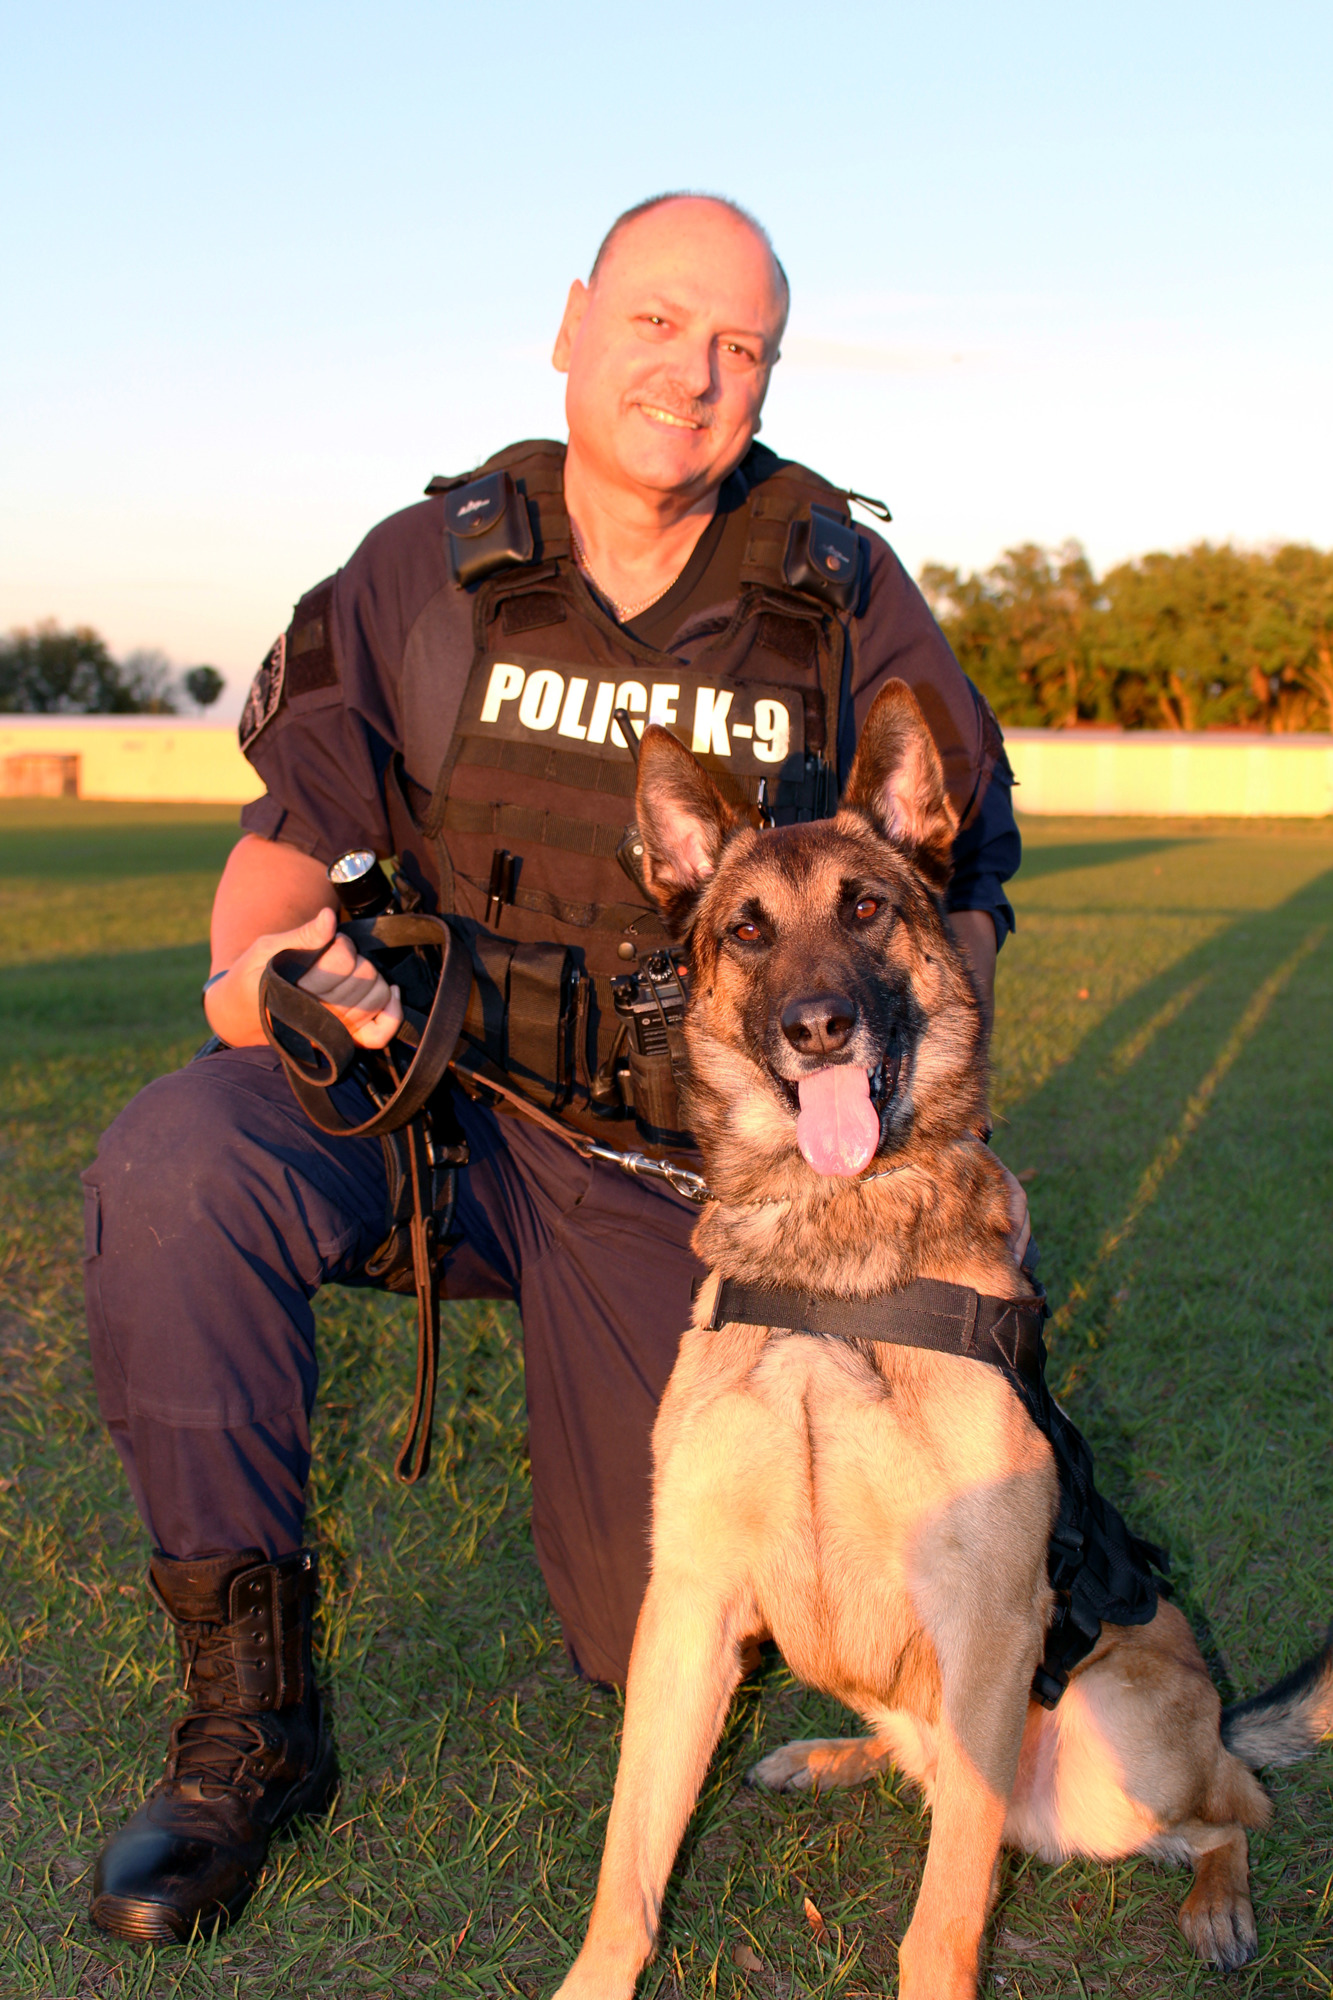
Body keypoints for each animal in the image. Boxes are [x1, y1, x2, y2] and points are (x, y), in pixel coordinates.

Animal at [548, 684, 1328, 2000]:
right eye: (746, 931)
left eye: (867, 907)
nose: (818, 1026)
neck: (830, 1267)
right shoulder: (688, 1607)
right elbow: (631, 1855)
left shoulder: (991, 1623)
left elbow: (946, 1907)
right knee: (926, 1758)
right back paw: (821, 1754)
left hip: (1115, 1759)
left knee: (1233, 1805)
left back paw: (1220, 1900)